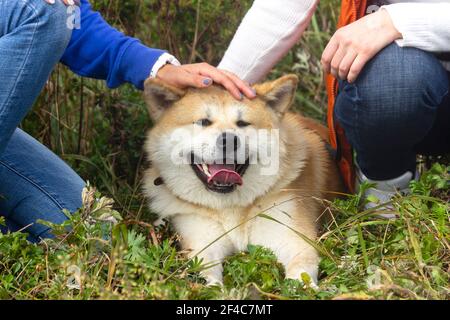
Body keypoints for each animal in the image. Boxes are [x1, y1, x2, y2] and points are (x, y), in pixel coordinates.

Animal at [142, 75, 342, 284]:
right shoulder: (202, 243)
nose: (228, 140)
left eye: (243, 123)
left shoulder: (293, 238)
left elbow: (300, 273)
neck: (231, 207)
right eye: (204, 121)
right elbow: (207, 274)